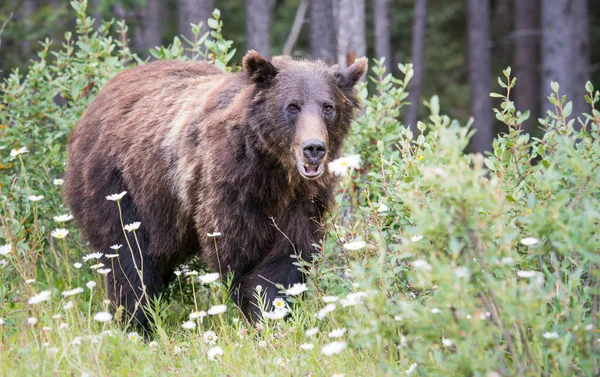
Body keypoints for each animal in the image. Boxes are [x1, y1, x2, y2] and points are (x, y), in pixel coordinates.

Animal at [63, 50, 368, 328]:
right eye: (292, 106)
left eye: (328, 106)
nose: (313, 148)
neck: (273, 173)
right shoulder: (229, 187)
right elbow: (239, 255)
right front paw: (261, 312)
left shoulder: (302, 204)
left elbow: (289, 255)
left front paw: (277, 313)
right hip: (121, 188)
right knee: (131, 262)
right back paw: (137, 323)